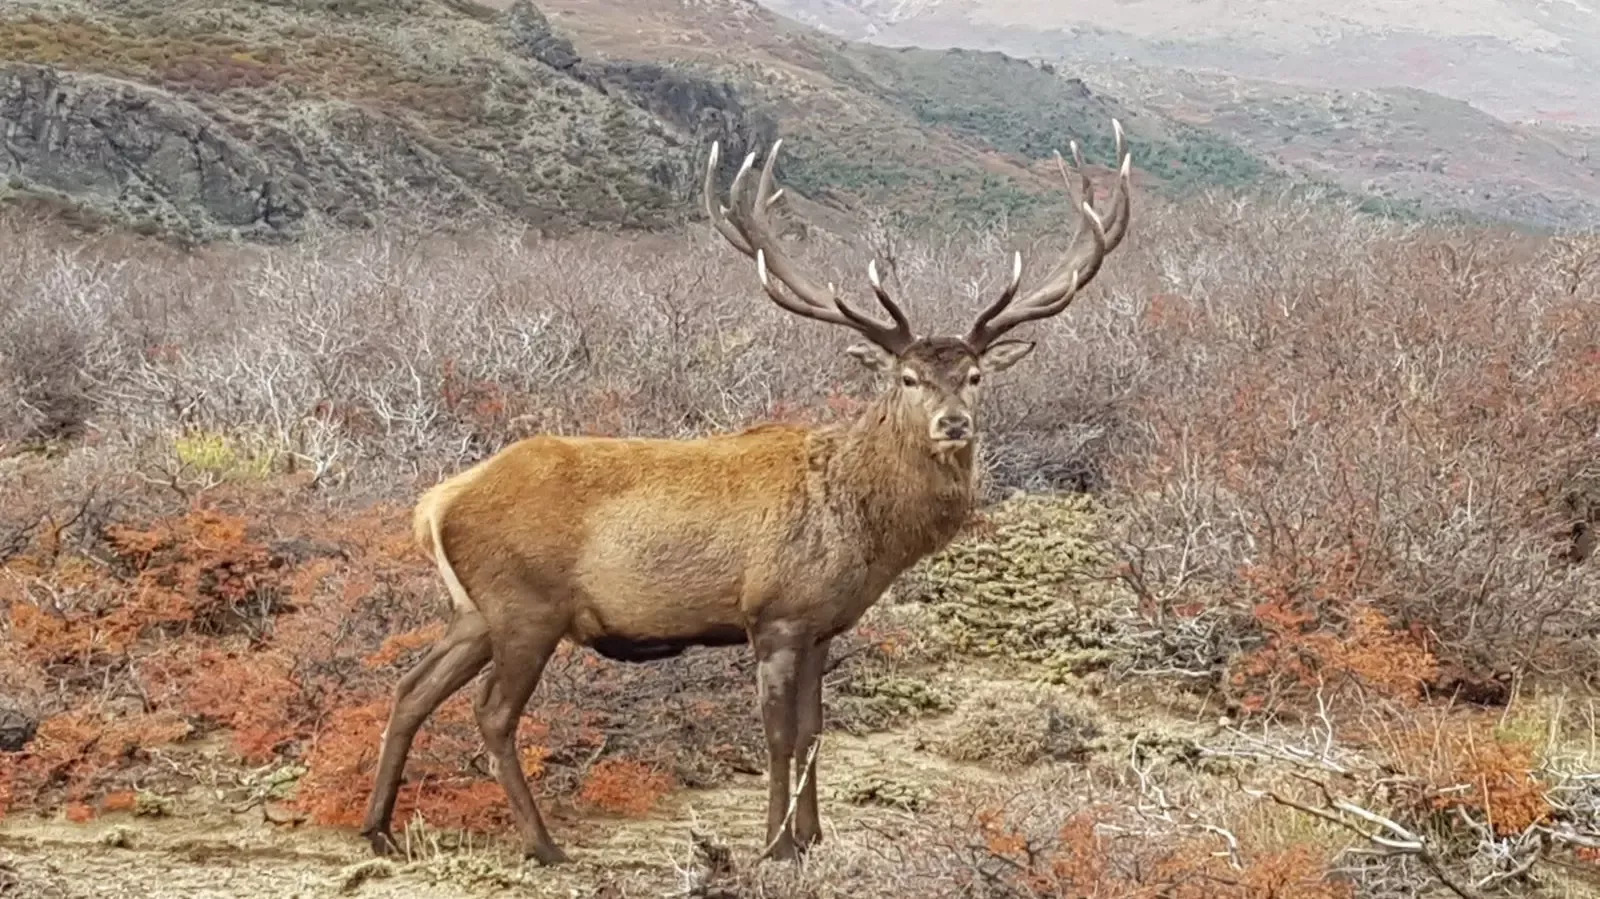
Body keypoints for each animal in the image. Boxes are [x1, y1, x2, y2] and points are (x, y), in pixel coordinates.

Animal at [358, 120, 1133, 866]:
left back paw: (378, 828)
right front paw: (776, 844)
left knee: (409, 687)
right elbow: (779, 737)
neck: (864, 529)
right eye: (907, 377)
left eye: (974, 376)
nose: (954, 424)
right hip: (525, 605)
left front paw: (814, 836)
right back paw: (542, 843)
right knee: (492, 712)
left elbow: (817, 731)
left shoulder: (824, 623)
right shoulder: (775, 613)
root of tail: (437, 503)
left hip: (474, 612)